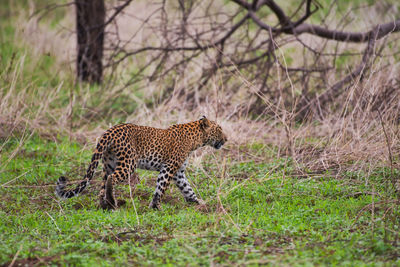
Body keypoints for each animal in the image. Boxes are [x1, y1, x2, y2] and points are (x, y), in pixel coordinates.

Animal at [54, 117, 227, 211]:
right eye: (219, 130)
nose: (226, 139)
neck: (196, 140)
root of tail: (109, 131)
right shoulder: (169, 168)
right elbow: (161, 188)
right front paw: (156, 207)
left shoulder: (178, 173)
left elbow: (187, 189)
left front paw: (199, 203)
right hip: (128, 163)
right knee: (112, 179)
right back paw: (112, 202)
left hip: (108, 163)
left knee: (102, 185)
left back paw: (105, 205)